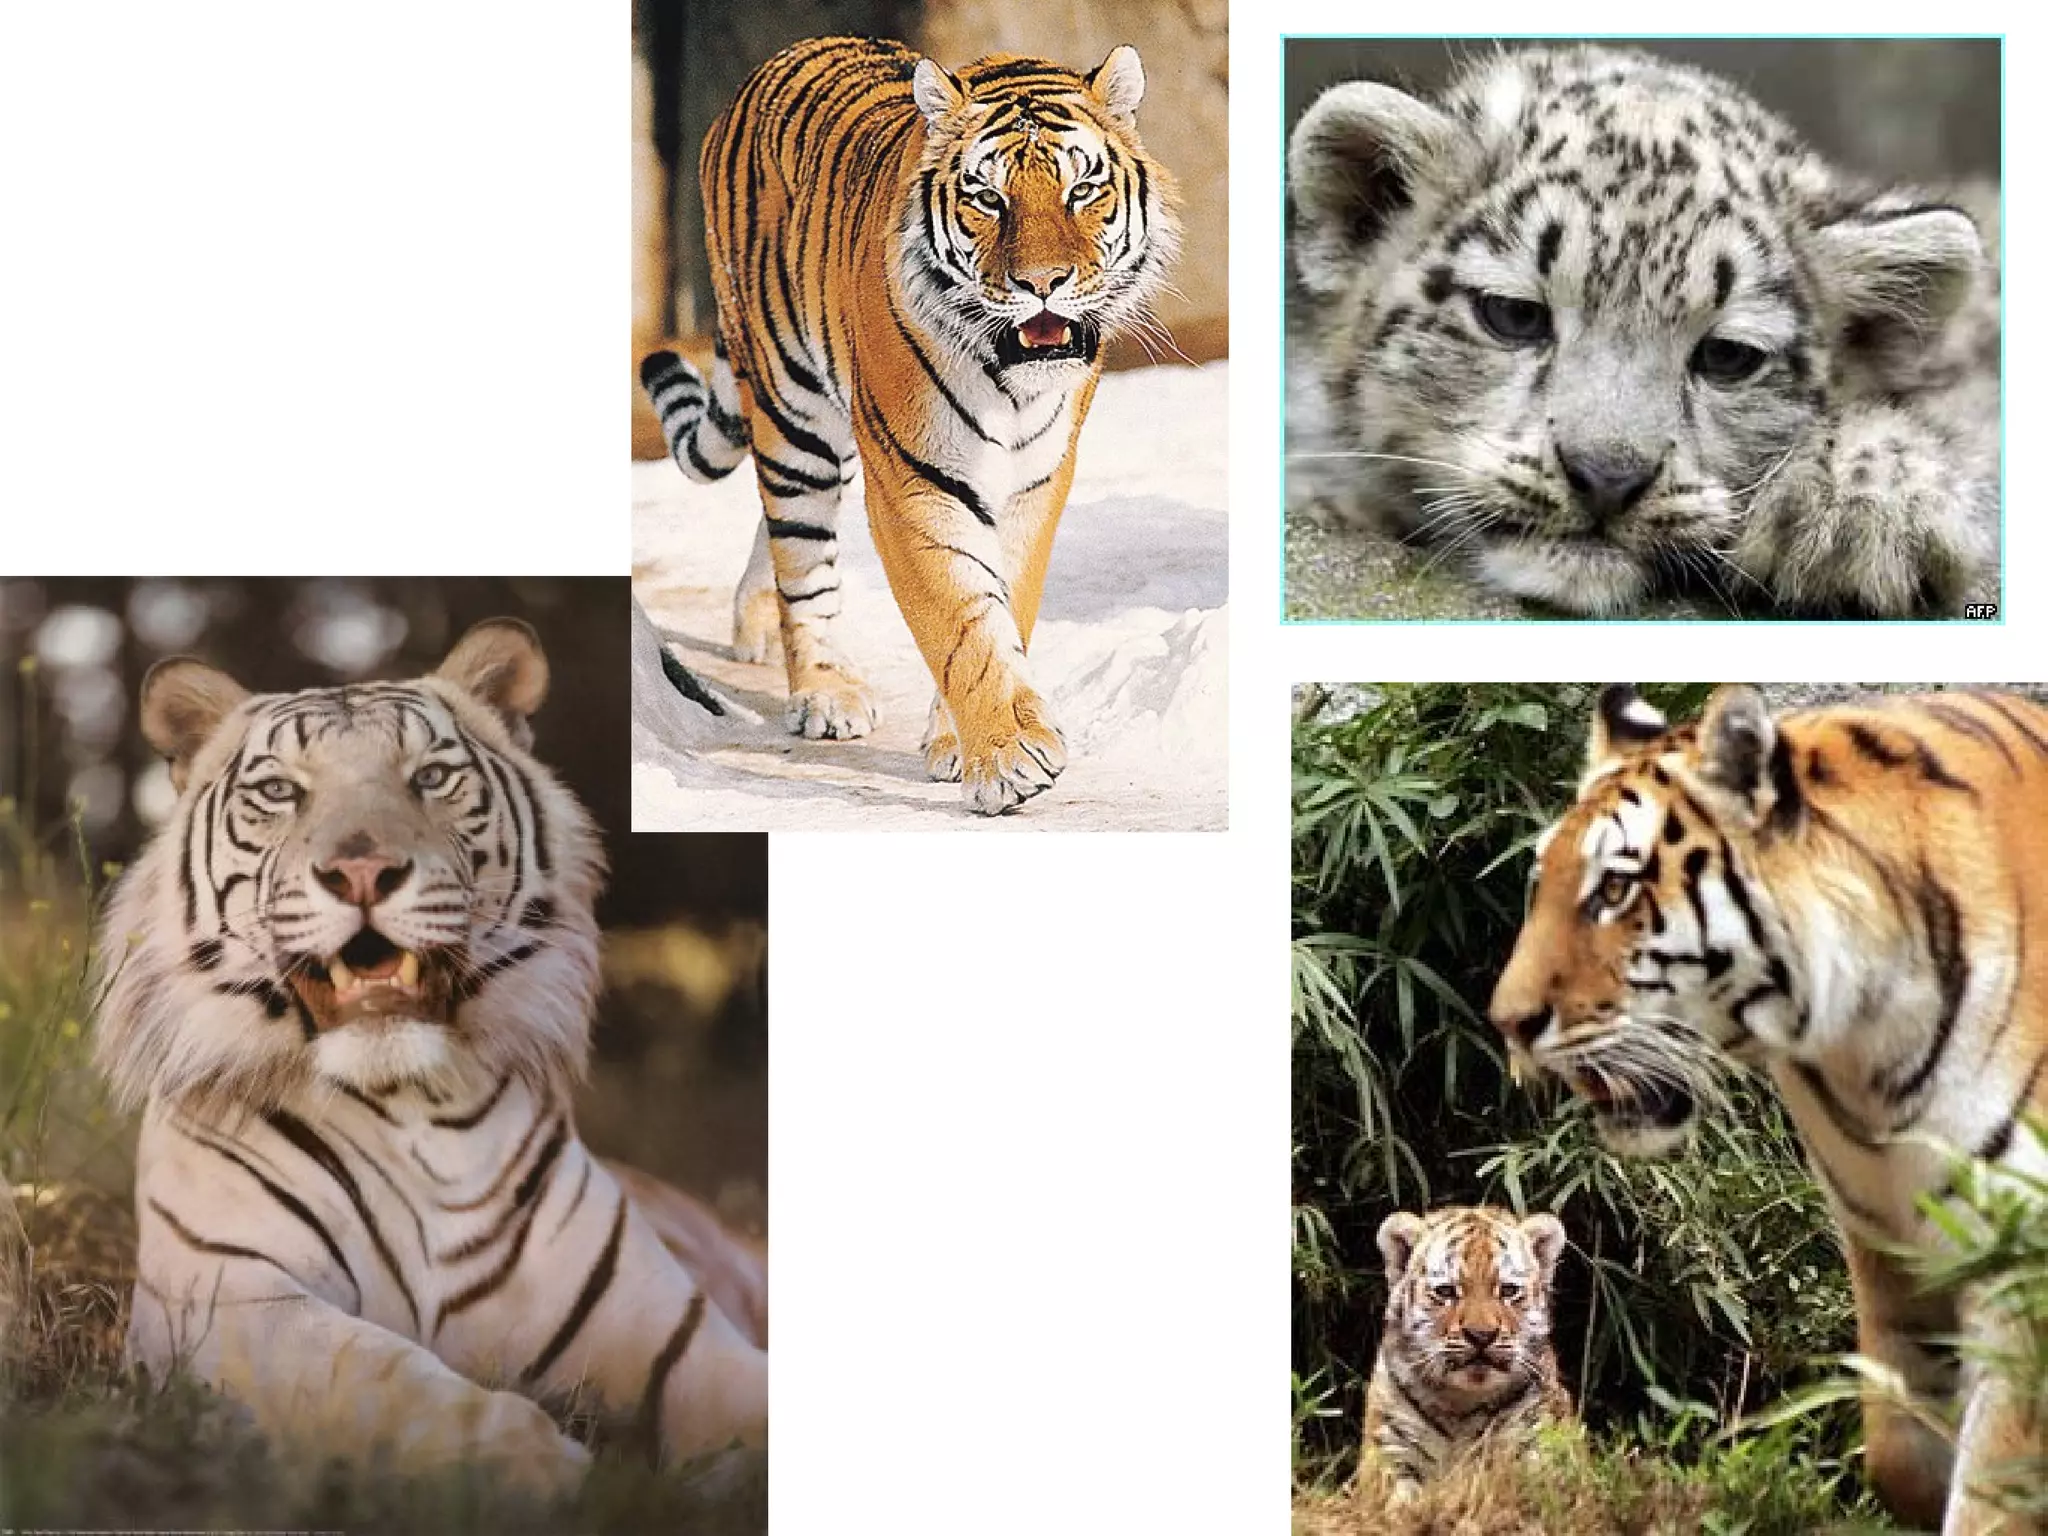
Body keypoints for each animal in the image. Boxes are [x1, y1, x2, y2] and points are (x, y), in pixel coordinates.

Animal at [91, 619, 768, 1497]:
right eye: (280, 792)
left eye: (432, 777)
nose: (361, 871)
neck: (409, 1107)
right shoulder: (235, 1300)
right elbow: (388, 1378)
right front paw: (547, 1472)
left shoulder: (675, 1337)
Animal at [640, 35, 1182, 815]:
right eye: (988, 198)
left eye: (1082, 190)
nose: (1042, 284)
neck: (1010, 381)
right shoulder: (914, 478)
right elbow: (959, 615)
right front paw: (1007, 756)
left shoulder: (1035, 479)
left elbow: (1004, 603)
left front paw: (960, 740)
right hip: (795, 410)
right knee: (799, 551)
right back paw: (824, 691)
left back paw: (757, 626)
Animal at [1362, 1205, 1573, 1498]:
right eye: (1446, 1291)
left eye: (1508, 1290)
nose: (1481, 1335)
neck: (1462, 1404)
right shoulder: (1392, 1453)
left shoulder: (1536, 1449)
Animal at [1491, 684, 2048, 1534]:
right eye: (1540, 885)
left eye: (1615, 890)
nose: (1508, 1023)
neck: (1864, 1052)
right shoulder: (1890, 1250)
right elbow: (1901, 1447)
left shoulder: (2022, 1269)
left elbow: (1992, 1487)